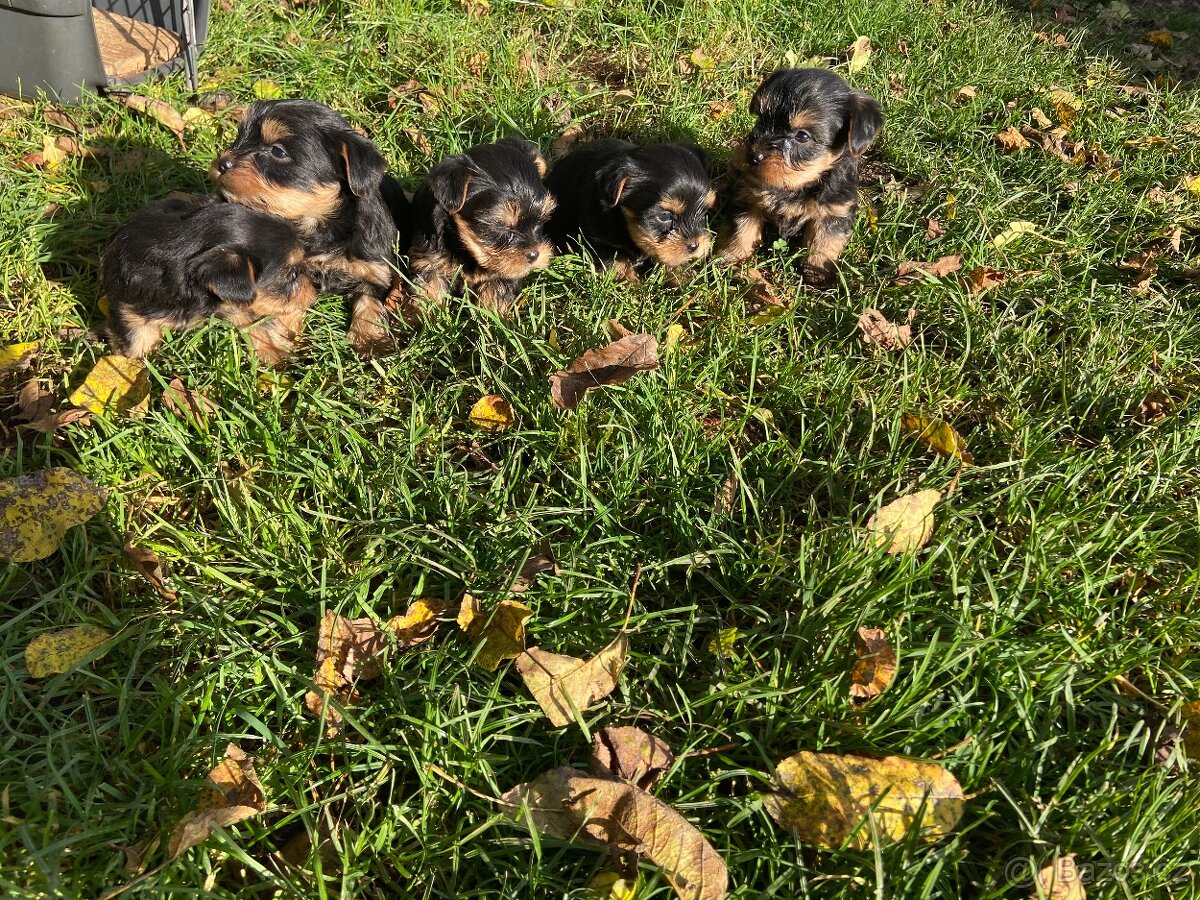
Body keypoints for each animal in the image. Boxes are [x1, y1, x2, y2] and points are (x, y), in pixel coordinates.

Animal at [104, 196, 319, 367]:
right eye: (291, 275)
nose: (313, 289)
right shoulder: (129, 309)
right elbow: (135, 343)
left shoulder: (241, 302)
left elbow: (259, 321)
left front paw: (277, 355)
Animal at [208, 101, 410, 355]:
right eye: (238, 137)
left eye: (278, 152)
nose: (222, 163)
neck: (318, 226)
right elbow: (291, 298)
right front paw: (284, 338)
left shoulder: (375, 268)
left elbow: (369, 302)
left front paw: (371, 341)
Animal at [403, 137, 552, 314]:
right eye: (500, 226)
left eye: (540, 221)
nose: (534, 255)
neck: (466, 247)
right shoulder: (430, 261)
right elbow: (429, 291)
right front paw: (425, 317)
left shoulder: (502, 274)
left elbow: (494, 296)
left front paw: (492, 317)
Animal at [549, 139, 715, 280]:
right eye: (664, 216)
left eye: (703, 211)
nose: (694, 246)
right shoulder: (597, 240)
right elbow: (618, 262)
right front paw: (630, 286)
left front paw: (683, 277)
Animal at [715, 68, 888, 283]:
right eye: (761, 119)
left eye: (802, 136)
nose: (753, 156)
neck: (798, 185)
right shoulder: (748, 197)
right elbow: (741, 230)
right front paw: (732, 258)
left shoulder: (834, 212)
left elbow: (825, 242)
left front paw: (818, 274)